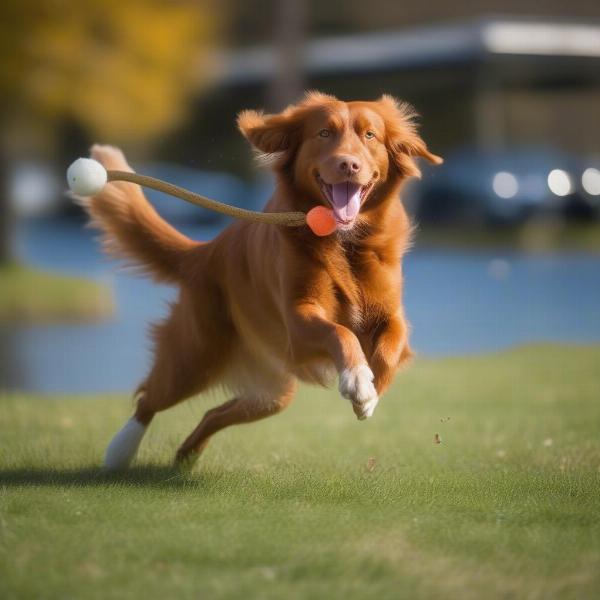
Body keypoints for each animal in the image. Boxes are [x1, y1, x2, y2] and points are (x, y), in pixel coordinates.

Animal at [84, 91, 440, 472]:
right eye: (324, 134)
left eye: (370, 135)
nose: (348, 165)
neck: (345, 242)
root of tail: (206, 250)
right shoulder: (298, 320)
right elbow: (340, 333)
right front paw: (358, 379)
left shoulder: (390, 314)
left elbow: (390, 349)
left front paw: (370, 394)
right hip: (194, 357)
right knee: (149, 399)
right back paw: (120, 450)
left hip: (273, 392)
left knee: (214, 413)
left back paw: (184, 458)